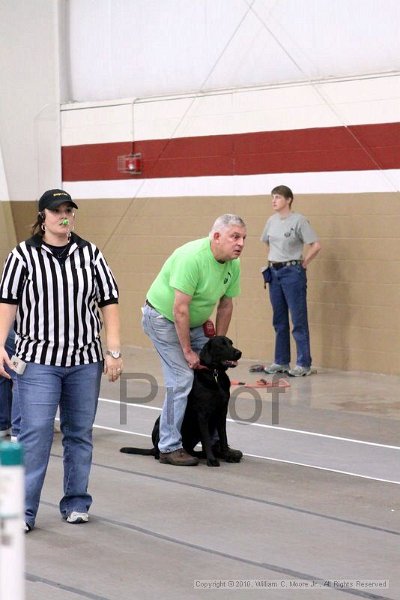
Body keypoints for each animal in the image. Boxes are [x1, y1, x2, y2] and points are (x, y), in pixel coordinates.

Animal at [120, 336, 242, 466]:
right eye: (221, 345)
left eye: (231, 343)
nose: (239, 353)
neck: (215, 375)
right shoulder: (202, 415)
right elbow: (207, 440)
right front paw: (212, 460)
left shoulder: (221, 413)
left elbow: (223, 437)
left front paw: (227, 455)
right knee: (159, 454)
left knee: (189, 449)